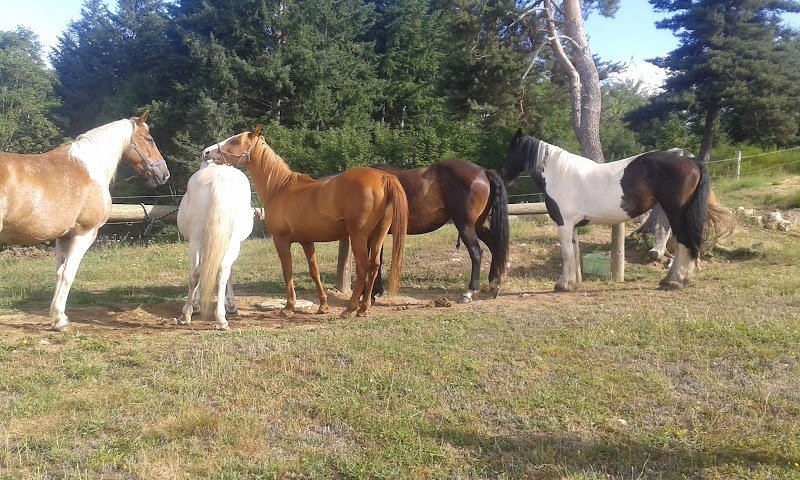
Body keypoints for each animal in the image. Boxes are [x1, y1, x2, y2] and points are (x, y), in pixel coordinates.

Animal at [0, 111, 170, 331]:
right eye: (149, 139)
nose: (164, 174)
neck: (90, 167)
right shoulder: (84, 232)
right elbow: (68, 274)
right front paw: (60, 320)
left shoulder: (63, 237)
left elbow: (59, 273)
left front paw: (56, 317)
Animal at [176, 162, 254, 331]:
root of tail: (219, 180)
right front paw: (230, 304)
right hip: (230, 241)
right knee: (222, 270)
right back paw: (220, 318)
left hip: (196, 240)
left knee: (195, 274)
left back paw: (186, 315)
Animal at [202, 126, 408, 318]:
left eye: (236, 141)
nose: (207, 152)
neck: (279, 187)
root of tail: (384, 177)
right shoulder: (306, 241)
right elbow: (314, 271)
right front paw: (323, 306)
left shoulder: (281, 240)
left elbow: (287, 271)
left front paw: (288, 307)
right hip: (378, 234)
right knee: (374, 266)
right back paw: (364, 308)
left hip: (359, 236)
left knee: (363, 268)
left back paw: (350, 309)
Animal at [371, 159, 509, 303]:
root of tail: (484, 172)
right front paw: (377, 291)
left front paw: (374, 293)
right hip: (478, 226)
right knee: (495, 247)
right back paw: (494, 284)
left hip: (465, 226)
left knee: (476, 253)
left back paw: (469, 292)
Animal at [501, 129, 731, 292]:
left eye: (511, 152)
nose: (503, 178)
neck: (560, 175)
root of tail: (691, 161)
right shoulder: (573, 226)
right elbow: (574, 253)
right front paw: (573, 283)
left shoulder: (564, 224)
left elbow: (566, 253)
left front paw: (562, 285)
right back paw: (673, 279)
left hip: (677, 213)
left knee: (684, 242)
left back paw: (674, 281)